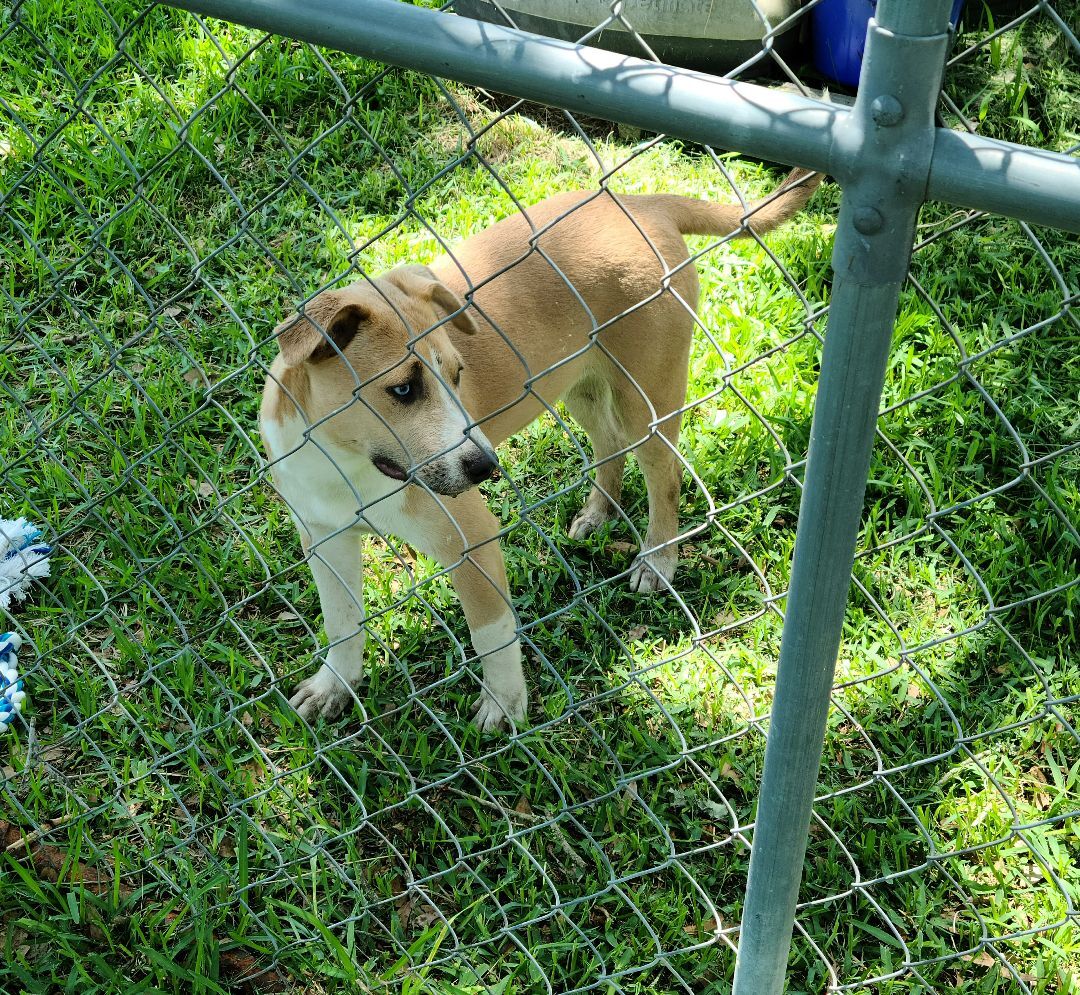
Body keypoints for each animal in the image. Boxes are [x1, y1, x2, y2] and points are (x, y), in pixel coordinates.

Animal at [261, 168, 816, 730]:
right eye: (402, 389)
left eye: (458, 374)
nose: (485, 467)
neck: (343, 460)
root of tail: (641, 201)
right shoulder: (324, 538)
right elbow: (342, 622)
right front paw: (335, 685)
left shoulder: (472, 541)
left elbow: (492, 635)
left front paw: (504, 704)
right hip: (581, 383)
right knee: (609, 444)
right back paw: (599, 513)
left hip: (648, 397)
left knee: (665, 479)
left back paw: (658, 559)